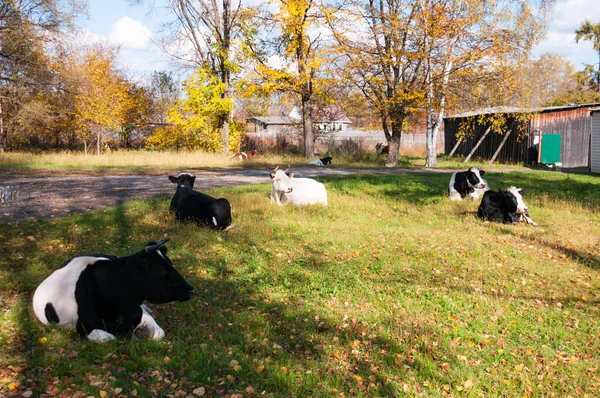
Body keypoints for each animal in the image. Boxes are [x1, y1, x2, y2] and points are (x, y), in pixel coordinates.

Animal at [32, 238, 195, 344]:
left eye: (171, 263)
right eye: (161, 270)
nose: (190, 290)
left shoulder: (139, 312)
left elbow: (159, 333)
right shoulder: (84, 327)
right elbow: (112, 338)